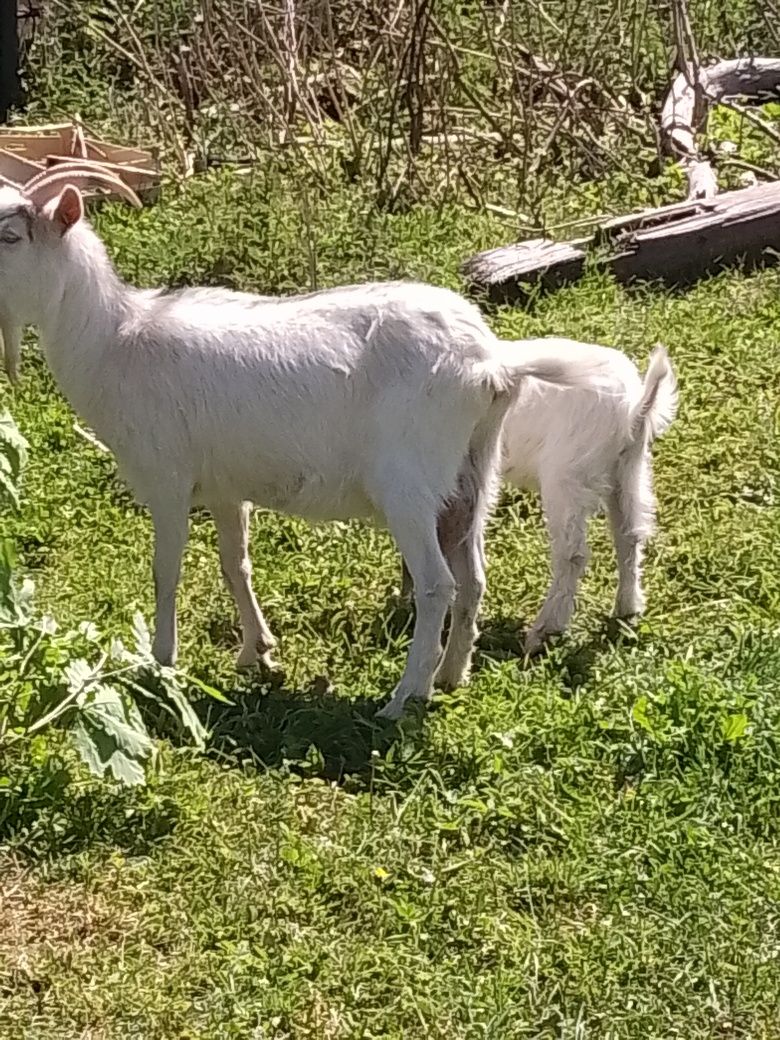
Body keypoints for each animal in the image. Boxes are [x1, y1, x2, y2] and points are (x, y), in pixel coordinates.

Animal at [0, 166, 611, 719]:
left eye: (11, 236)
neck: (116, 340)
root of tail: (490, 365)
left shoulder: (167, 479)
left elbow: (165, 570)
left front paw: (161, 663)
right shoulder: (225, 489)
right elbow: (234, 563)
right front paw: (256, 651)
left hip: (409, 488)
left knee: (438, 585)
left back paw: (404, 698)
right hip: (471, 479)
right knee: (473, 578)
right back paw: (451, 674)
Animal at [403, 341, 678, 648]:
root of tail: (634, 409)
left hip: (568, 476)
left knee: (572, 554)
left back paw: (542, 632)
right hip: (629, 471)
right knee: (629, 534)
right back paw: (626, 609)